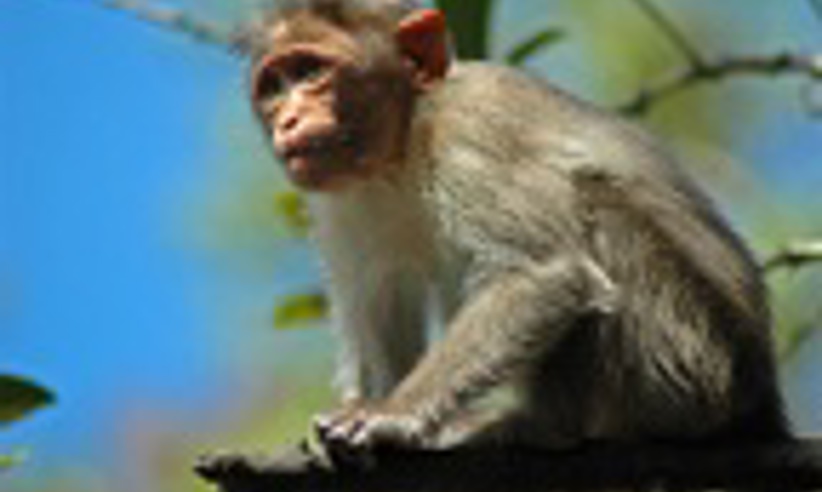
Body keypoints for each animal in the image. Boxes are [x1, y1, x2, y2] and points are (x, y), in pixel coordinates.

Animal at [242, 0, 790, 465]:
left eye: (311, 71)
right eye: (273, 86)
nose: (288, 119)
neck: (402, 149)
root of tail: (759, 404)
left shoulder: (476, 125)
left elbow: (543, 271)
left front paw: (391, 414)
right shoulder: (338, 200)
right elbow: (379, 300)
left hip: (686, 360)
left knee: (593, 209)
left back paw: (544, 427)